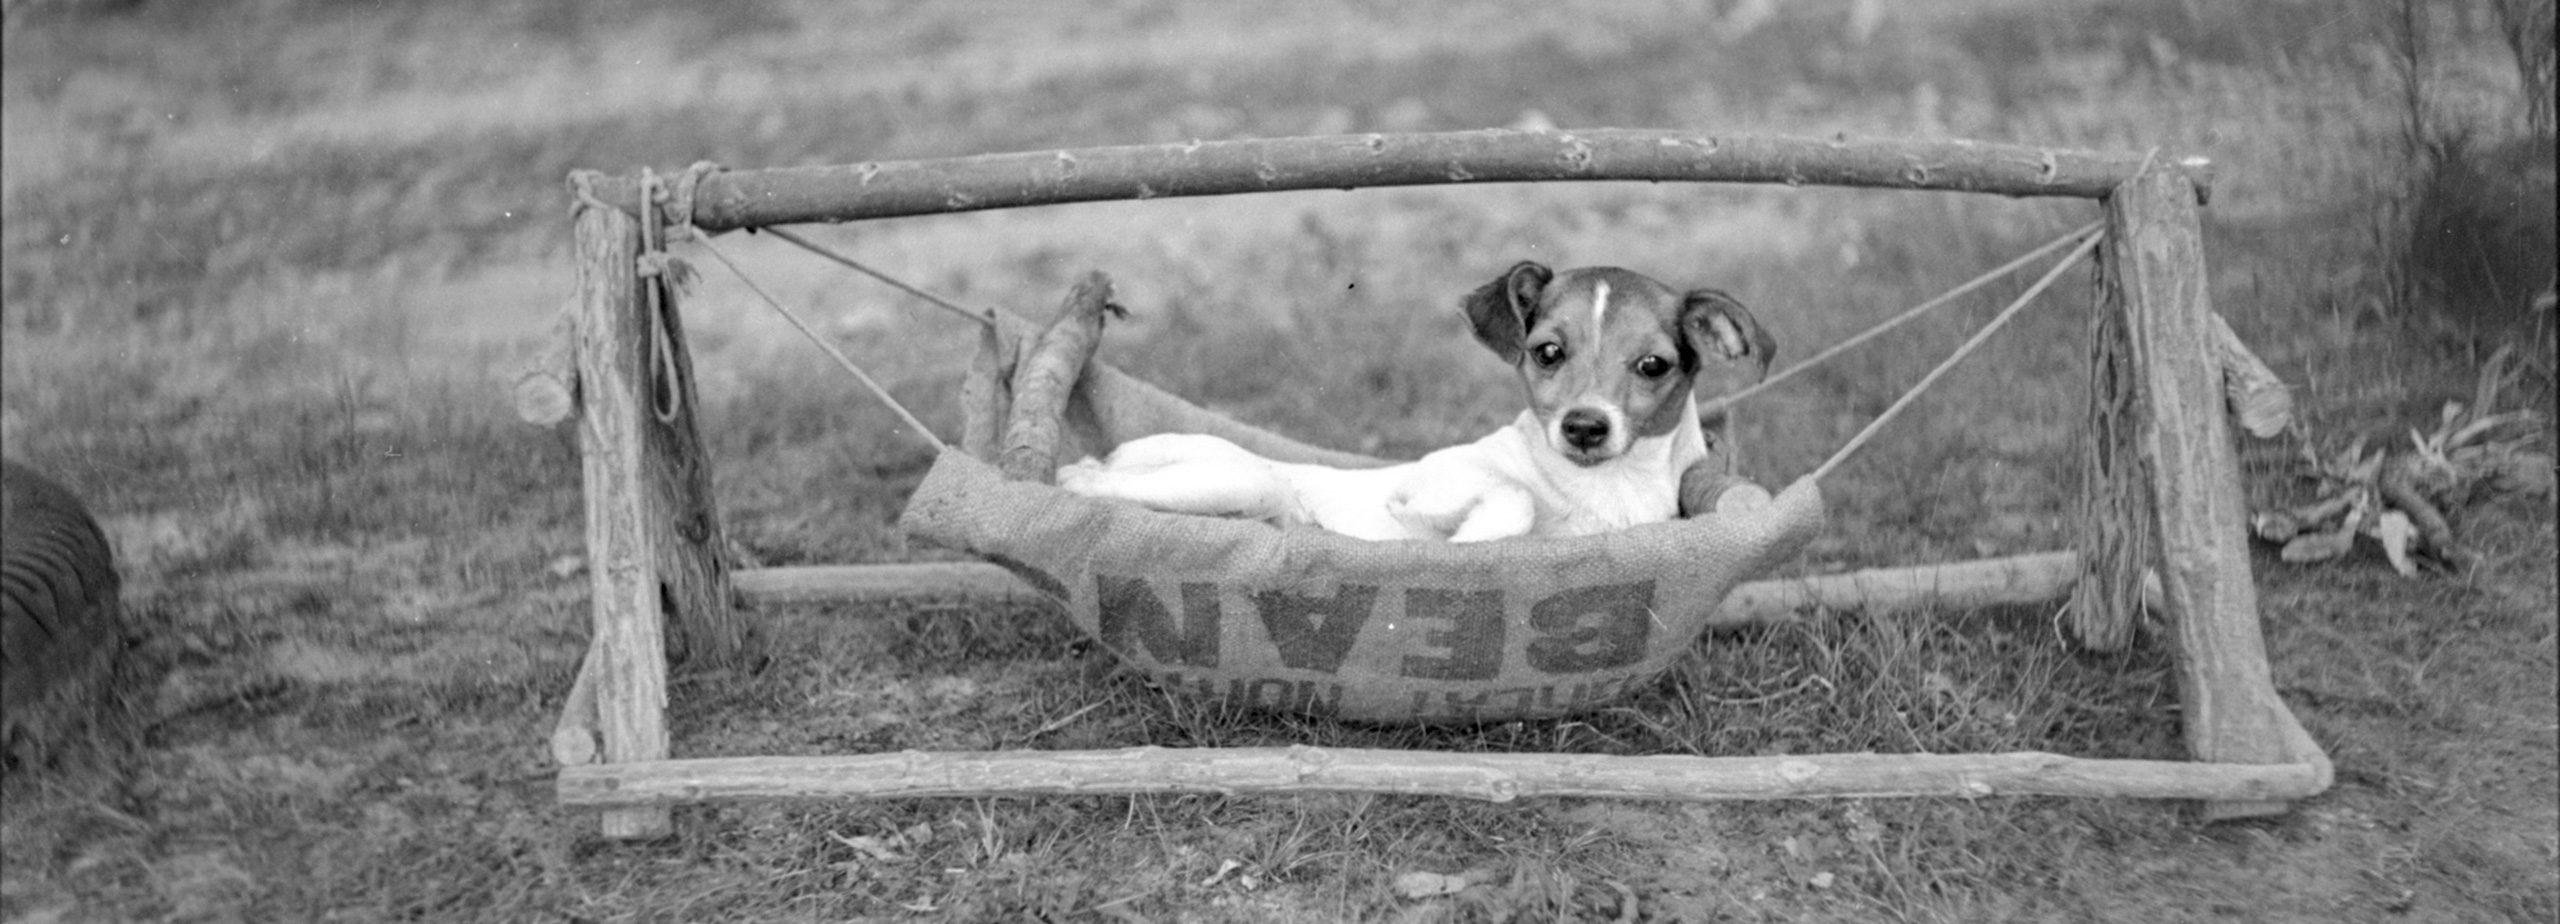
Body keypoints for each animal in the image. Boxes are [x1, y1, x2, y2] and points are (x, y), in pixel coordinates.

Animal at [1049, 261, 1771, 540]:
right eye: (1547, 353)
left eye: (1653, 365)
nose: (1584, 427)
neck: (1599, 489)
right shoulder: (1431, 481)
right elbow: (1508, 497)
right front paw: (1472, 536)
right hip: (1237, 477)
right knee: (1081, 482)